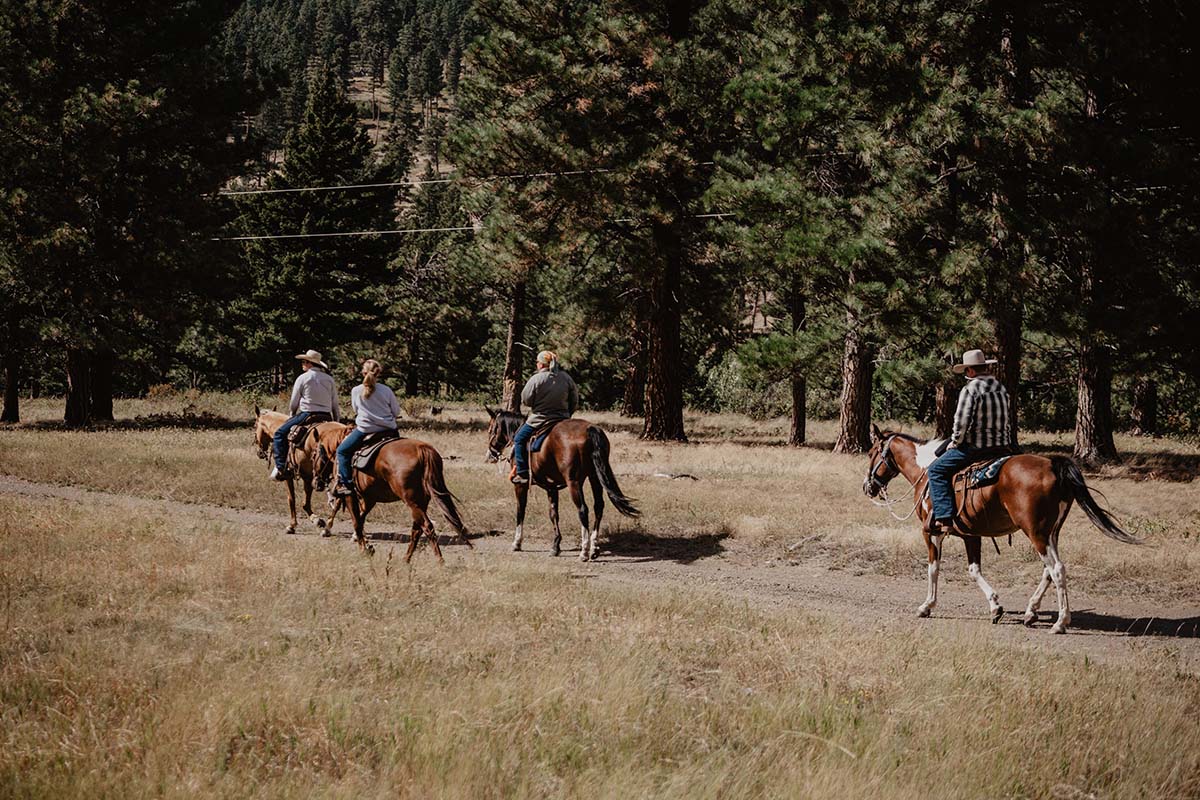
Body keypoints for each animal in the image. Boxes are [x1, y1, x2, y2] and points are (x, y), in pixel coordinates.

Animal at [312, 424, 470, 563]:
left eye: (314, 455)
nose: (316, 482)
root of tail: (422, 450)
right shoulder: (369, 498)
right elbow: (360, 519)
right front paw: (365, 543)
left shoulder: (349, 493)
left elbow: (353, 518)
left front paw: (360, 546)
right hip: (421, 502)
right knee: (417, 529)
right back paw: (406, 559)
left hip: (412, 501)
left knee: (427, 526)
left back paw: (440, 561)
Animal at [484, 410, 643, 561]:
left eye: (491, 429)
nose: (490, 454)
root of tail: (590, 429)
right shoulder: (551, 487)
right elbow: (553, 514)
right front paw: (556, 545)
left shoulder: (520, 486)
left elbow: (520, 511)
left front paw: (517, 542)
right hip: (595, 477)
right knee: (598, 506)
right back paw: (594, 547)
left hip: (574, 482)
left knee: (583, 510)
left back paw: (584, 551)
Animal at [864, 422, 1132, 633]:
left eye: (870, 453)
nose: (868, 486)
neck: (925, 469)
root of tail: (1051, 465)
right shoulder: (970, 534)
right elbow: (973, 570)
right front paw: (995, 607)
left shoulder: (931, 532)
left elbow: (933, 568)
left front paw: (927, 606)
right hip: (1051, 533)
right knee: (1049, 570)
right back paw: (1031, 612)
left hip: (1036, 533)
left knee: (1056, 569)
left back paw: (1060, 622)